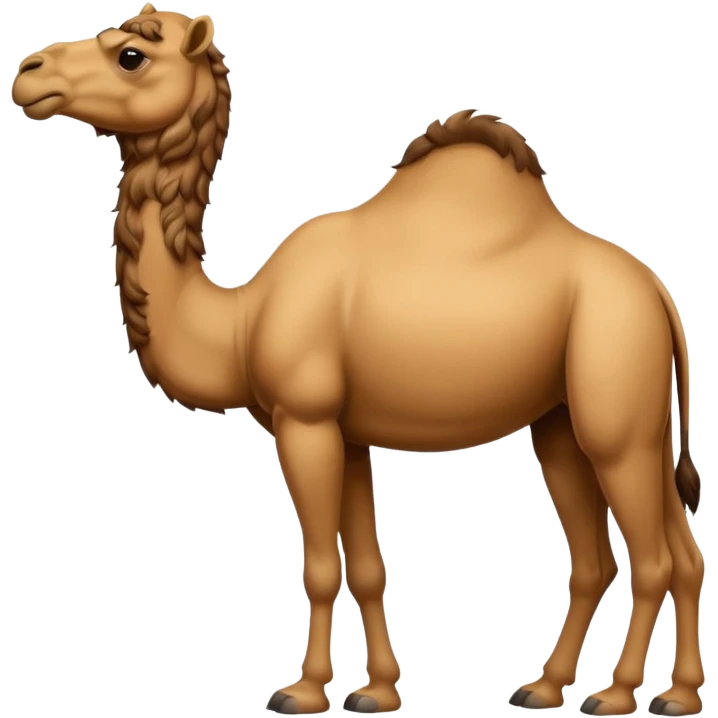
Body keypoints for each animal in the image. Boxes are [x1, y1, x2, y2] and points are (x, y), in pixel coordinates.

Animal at [11, 5, 705, 716]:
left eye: (131, 56)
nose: (28, 73)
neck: (239, 319)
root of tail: (657, 294)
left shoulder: (304, 421)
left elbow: (320, 567)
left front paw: (303, 692)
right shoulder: (344, 435)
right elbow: (367, 568)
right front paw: (376, 690)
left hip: (615, 405)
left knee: (650, 556)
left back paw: (617, 695)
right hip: (585, 421)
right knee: (641, 553)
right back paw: (610, 690)